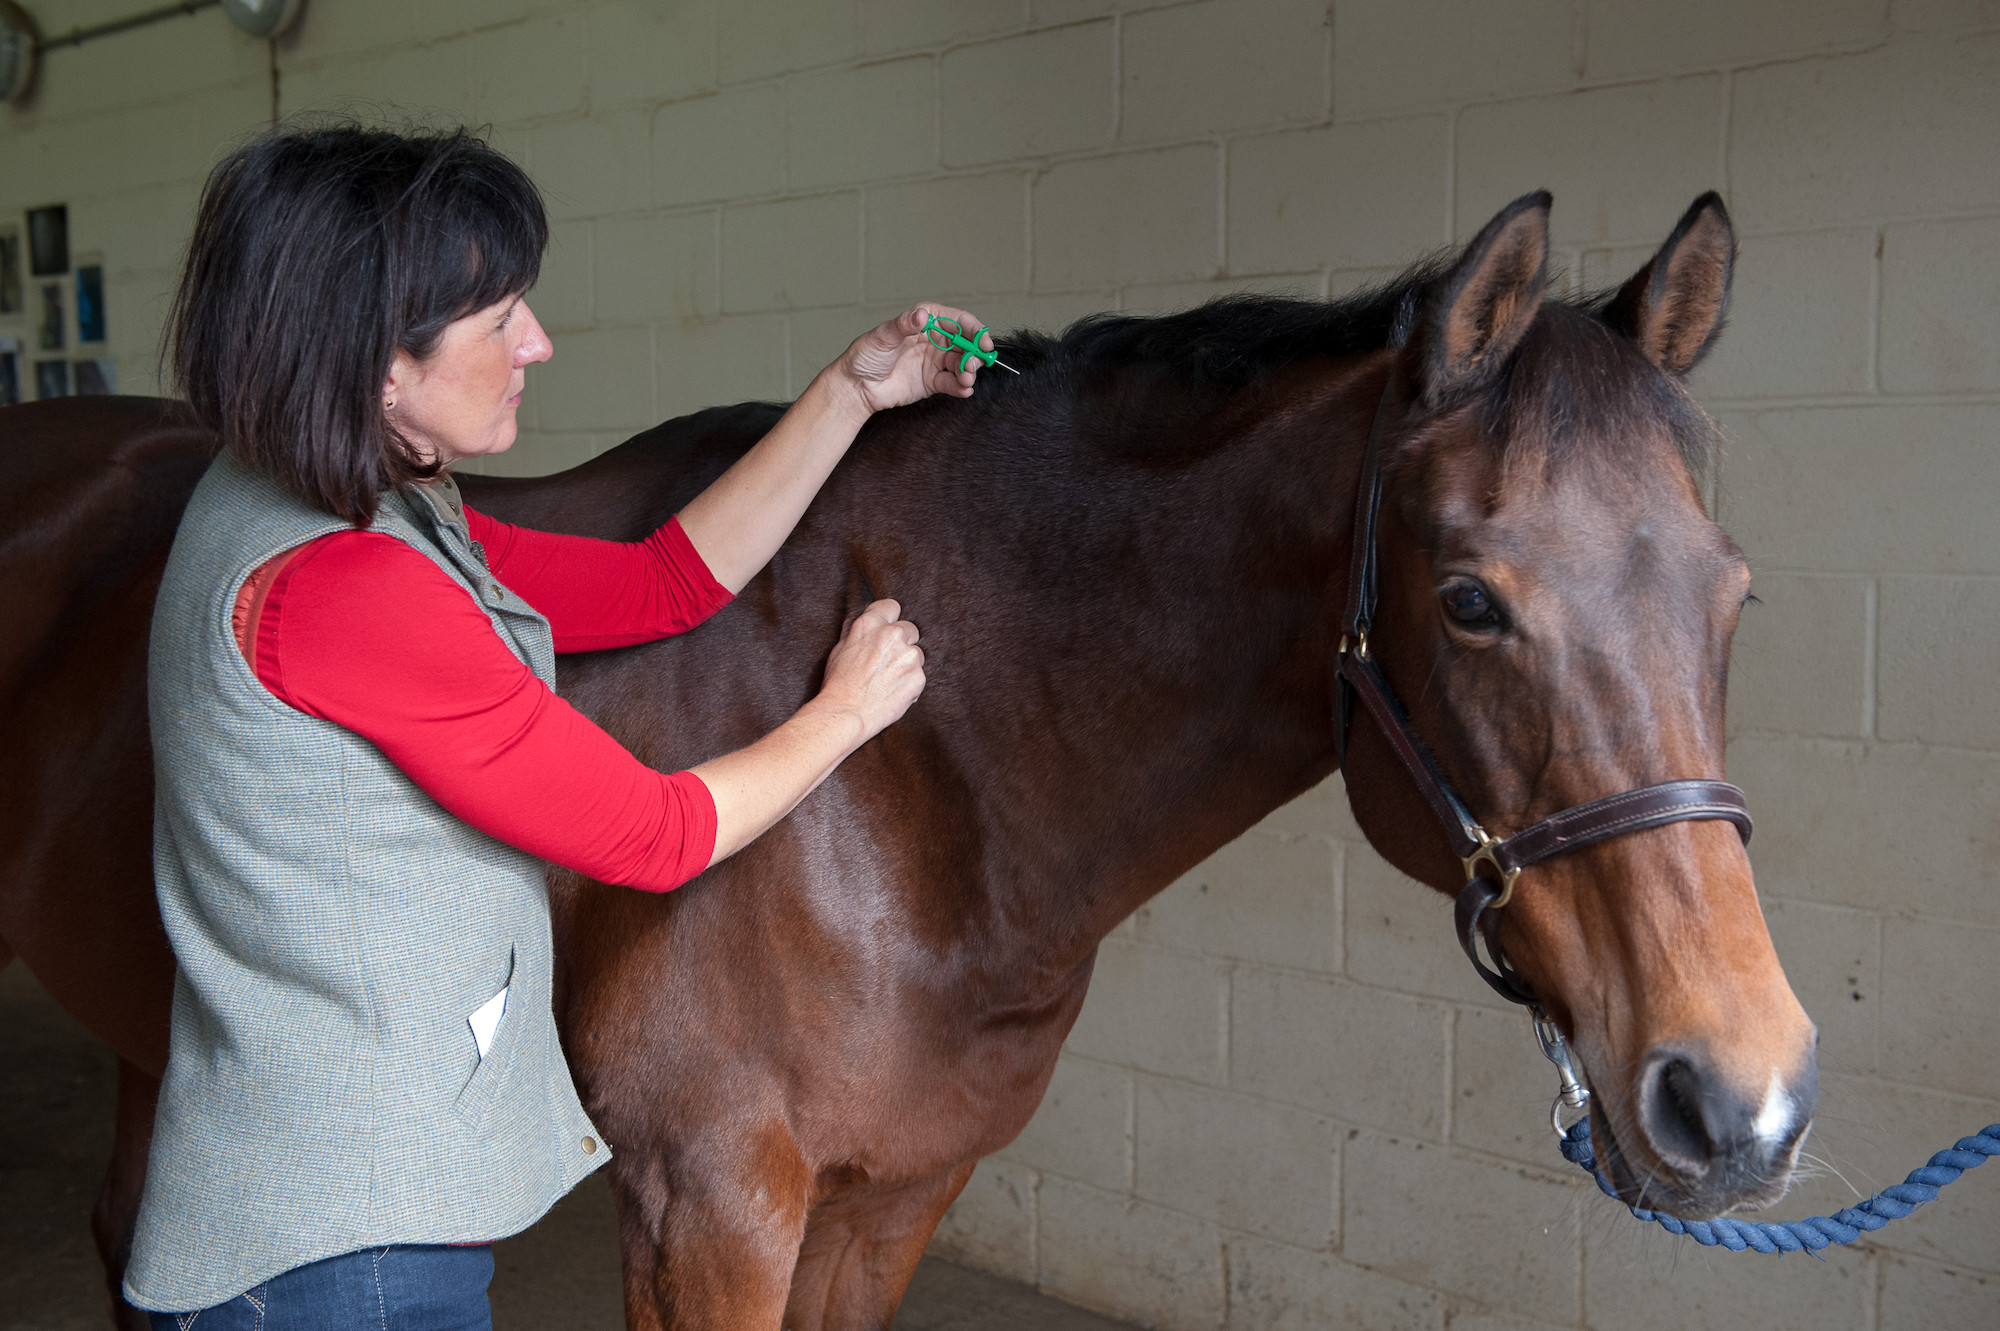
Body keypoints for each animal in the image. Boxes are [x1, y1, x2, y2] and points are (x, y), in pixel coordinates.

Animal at [0, 188, 1816, 1327]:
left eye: (1737, 593)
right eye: (1471, 600)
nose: (1743, 1100)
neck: (930, 794)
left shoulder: (890, 1200)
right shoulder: (707, 1206)